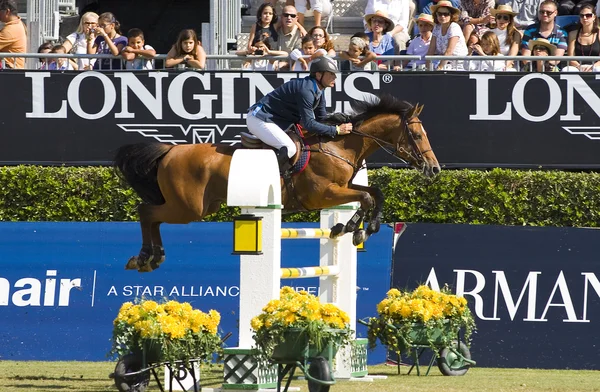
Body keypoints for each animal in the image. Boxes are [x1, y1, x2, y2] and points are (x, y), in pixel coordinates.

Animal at [113, 93, 440, 272]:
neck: (339, 146)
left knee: (153, 216)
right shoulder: (323, 194)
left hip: (196, 207)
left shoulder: (342, 189)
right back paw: (145, 257)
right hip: (188, 208)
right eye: (417, 135)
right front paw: (357, 228)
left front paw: (352, 228)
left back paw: (153, 258)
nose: (434, 169)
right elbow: (368, 197)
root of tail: (170, 150)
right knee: (146, 212)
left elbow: (374, 192)